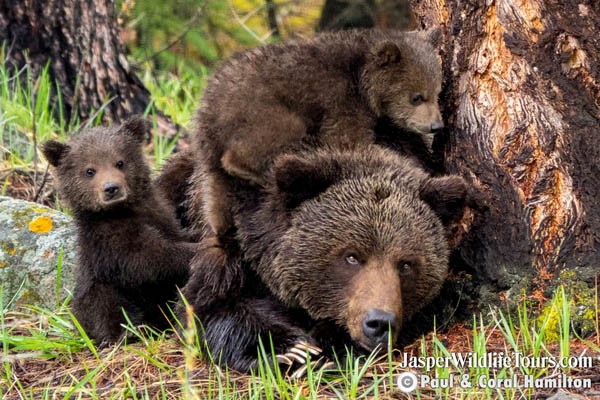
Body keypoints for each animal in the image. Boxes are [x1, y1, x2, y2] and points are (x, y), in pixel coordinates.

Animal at [44, 117, 195, 346]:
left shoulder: (161, 216)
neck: (123, 210)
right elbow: (145, 259)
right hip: (100, 289)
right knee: (105, 303)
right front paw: (197, 249)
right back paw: (129, 331)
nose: (111, 188)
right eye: (90, 170)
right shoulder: (108, 239)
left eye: (120, 162)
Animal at [178, 144, 468, 372]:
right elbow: (210, 305)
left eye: (406, 264)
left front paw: (328, 349)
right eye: (351, 257)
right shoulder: (228, 231)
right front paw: (288, 349)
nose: (379, 323)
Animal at [190, 28, 442, 241]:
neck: (362, 79)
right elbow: (349, 141)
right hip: (260, 110)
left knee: (215, 190)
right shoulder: (341, 101)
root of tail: (206, 110)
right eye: (416, 97)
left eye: (437, 93)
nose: (436, 125)